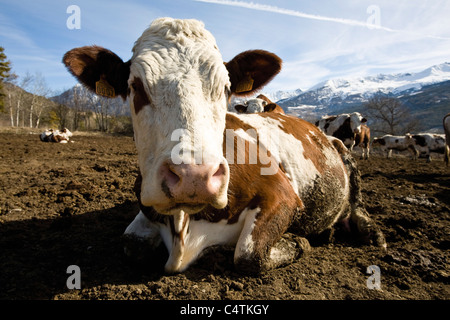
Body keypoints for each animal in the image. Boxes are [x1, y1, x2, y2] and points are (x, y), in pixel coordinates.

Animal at [63, 17, 384, 274]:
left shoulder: (284, 195)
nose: (193, 177)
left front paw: (299, 241)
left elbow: (248, 254)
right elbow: (132, 245)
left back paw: (369, 232)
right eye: (136, 87)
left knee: (357, 205)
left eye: (227, 88)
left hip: (346, 158)